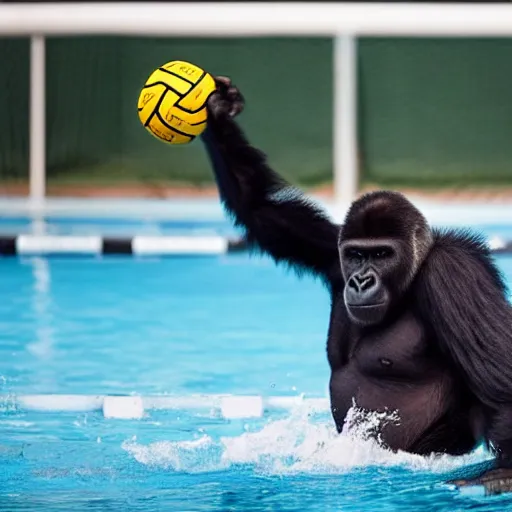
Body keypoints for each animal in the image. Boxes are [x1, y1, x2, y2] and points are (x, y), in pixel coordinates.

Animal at [201, 75, 512, 492]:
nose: (361, 280)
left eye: (382, 254)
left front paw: (503, 473)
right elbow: (261, 207)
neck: (411, 277)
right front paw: (217, 112)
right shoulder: (331, 251)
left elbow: (502, 384)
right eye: (357, 255)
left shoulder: (454, 272)